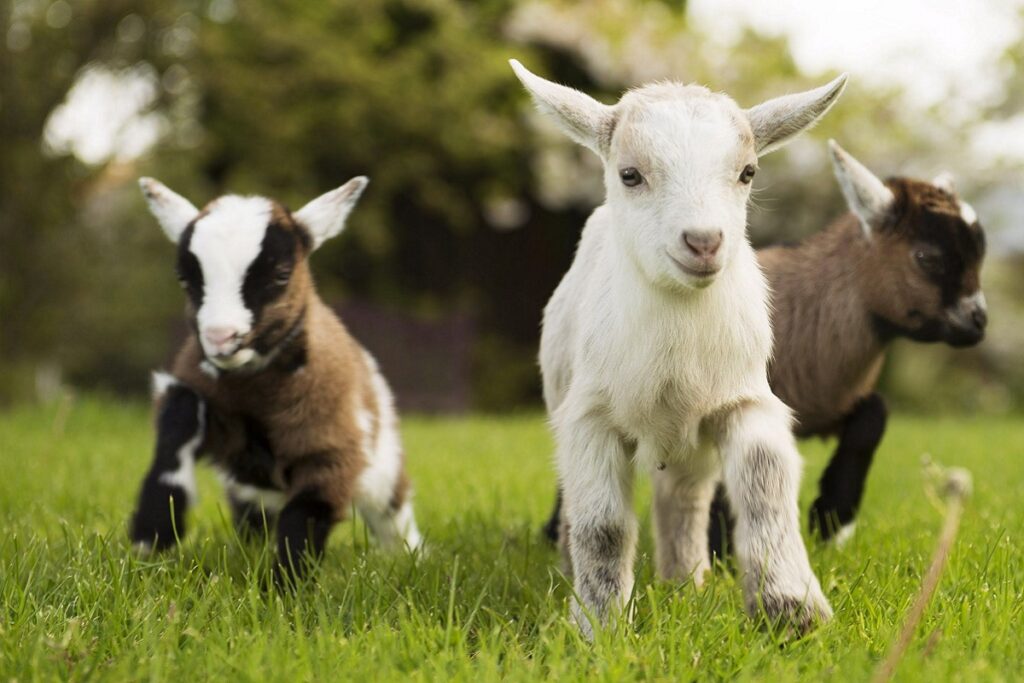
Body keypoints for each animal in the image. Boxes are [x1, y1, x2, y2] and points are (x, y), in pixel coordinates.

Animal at [130, 177, 422, 582]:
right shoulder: (211, 412)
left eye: (281, 275)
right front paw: (151, 534)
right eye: (185, 279)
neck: (255, 392)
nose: (221, 337)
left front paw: (285, 589)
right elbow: (180, 416)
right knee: (255, 516)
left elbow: (306, 513)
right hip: (251, 490)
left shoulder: (330, 448)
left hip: (384, 465)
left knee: (393, 514)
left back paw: (413, 558)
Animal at [511, 58, 847, 636]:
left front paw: (791, 612)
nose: (704, 242)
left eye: (747, 172)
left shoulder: (743, 399)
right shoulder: (590, 418)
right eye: (630, 174)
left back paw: (685, 584)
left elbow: (764, 486)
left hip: (691, 445)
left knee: (684, 499)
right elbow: (603, 526)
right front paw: (598, 626)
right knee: (584, 509)